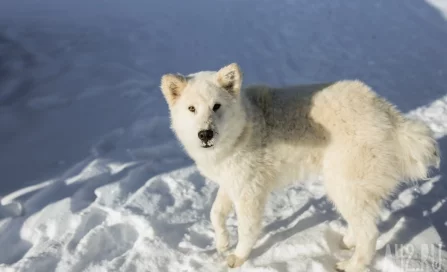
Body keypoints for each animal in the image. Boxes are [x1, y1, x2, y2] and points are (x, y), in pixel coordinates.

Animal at [160, 63, 440, 270]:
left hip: (342, 184)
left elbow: (247, 229)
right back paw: (348, 242)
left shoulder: (250, 192)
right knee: (363, 222)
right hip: (349, 187)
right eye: (191, 108)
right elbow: (215, 214)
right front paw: (221, 243)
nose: (205, 134)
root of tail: (390, 117)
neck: (245, 126)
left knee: (370, 233)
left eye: (216, 106)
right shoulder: (232, 183)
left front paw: (238, 258)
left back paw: (351, 265)